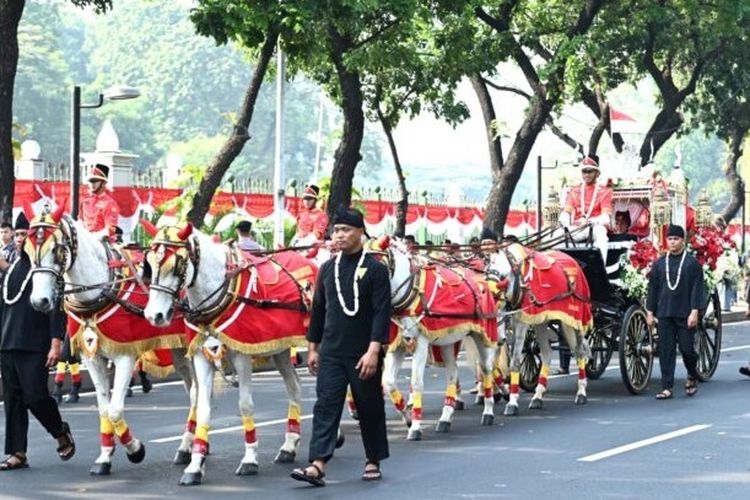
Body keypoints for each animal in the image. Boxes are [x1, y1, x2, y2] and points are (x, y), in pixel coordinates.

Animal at [26, 207, 197, 472]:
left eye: (55, 249)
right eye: (27, 249)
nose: (40, 301)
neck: (102, 289)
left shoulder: (125, 355)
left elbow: (116, 410)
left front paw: (135, 449)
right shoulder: (92, 356)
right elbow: (105, 408)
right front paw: (105, 456)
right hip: (179, 351)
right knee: (193, 391)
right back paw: (186, 447)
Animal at [142, 225, 310, 486]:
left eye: (177, 266)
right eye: (148, 264)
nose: (154, 315)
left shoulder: (242, 355)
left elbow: (245, 405)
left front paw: (250, 459)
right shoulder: (201, 356)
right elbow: (203, 407)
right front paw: (195, 465)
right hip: (281, 349)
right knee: (295, 387)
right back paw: (289, 446)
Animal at [374, 237, 502, 438]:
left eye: (377, 263)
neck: (410, 293)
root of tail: (480, 279)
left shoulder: (420, 343)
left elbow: (416, 383)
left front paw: (415, 427)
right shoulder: (399, 345)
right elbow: (388, 383)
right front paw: (408, 419)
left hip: (482, 335)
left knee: (485, 369)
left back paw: (488, 411)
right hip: (448, 341)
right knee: (453, 374)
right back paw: (445, 418)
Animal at [488, 242, 592, 414]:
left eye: (501, 276)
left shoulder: (522, 322)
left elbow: (515, 361)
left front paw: (512, 402)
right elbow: (492, 363)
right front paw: (504, 390)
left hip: (574, 319)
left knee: (579, 351)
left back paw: (581, 392)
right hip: (542, 321)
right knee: (547, 354)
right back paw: (537, 396)